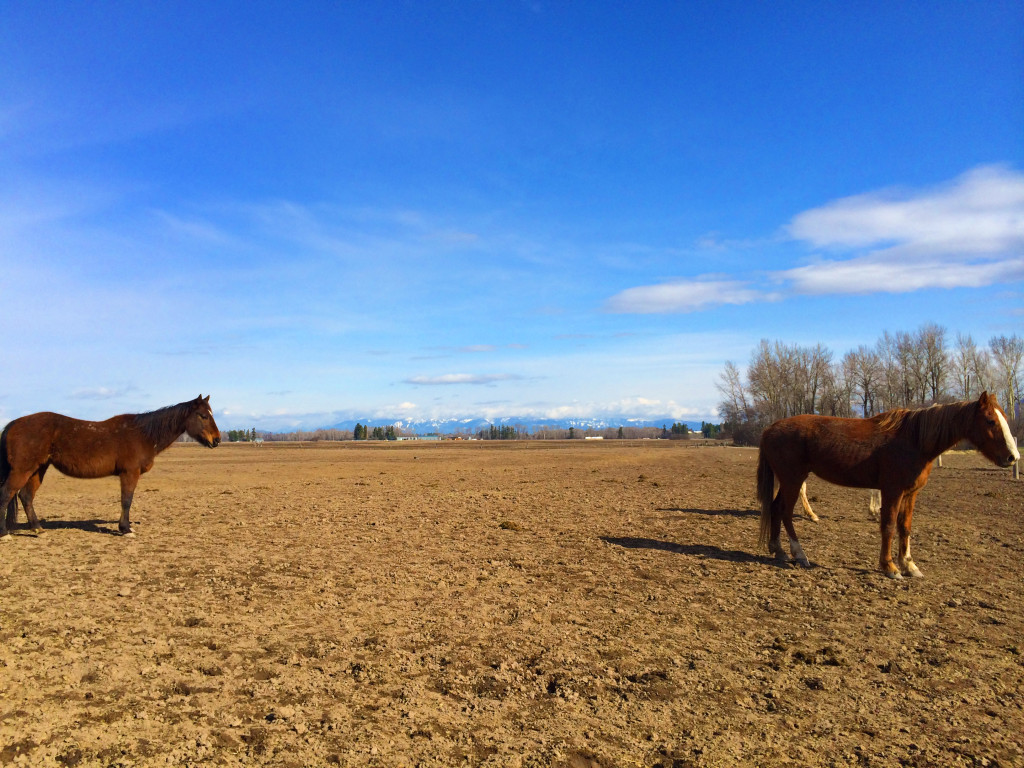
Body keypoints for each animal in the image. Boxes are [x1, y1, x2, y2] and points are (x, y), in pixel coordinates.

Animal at [2, 397, 220, 540]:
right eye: (202, 416)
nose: (217, 440)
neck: (143, 434)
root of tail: (14, 423)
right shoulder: (129, 473)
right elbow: (126, 500)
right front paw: (126, 529)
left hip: (37, 469)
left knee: (26, 497)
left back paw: (38, 529)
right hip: (23, 470)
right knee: (6, 494)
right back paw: (5, 534)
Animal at [757, 397, 1019, 577]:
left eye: (1005, 418)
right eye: (990, 421)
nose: (1013, 457)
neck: (914, 441)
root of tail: (770, 428)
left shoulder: (910, 493)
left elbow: (905, 527)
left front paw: (909, 565)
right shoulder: (892, 491)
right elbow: (889, 527)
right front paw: (890, 567)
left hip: (788, 480)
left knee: (775, 508)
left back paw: (778, 550)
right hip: (793, 479)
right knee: (785, 513)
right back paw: (799, 554)